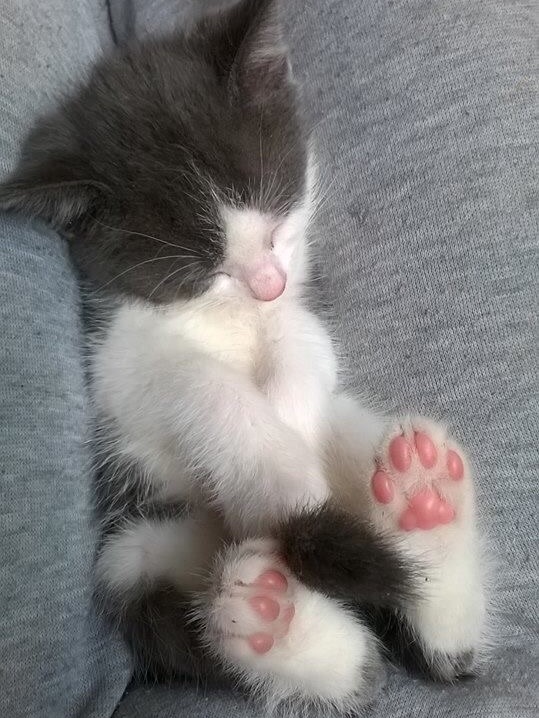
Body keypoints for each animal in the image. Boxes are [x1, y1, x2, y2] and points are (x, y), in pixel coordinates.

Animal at [0, 0, 487, 714]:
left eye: (276, 218)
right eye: (205, 269)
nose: (266, 283)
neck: (227, 317)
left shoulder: (303, 298)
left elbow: (306, 343)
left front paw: (288, 412)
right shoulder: (118, 361)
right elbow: (197, 382)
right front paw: (279, 477)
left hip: (349, 429)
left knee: (440, 647)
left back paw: (423, 501)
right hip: (129, 551)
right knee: (334, 665)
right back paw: (271, 614)